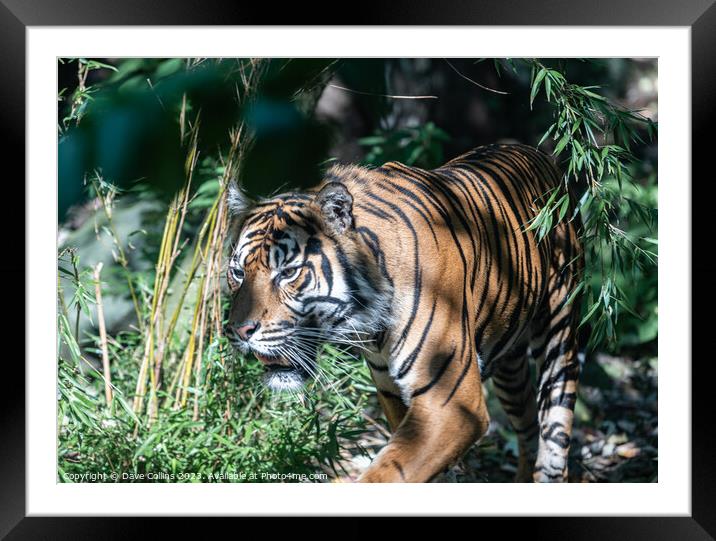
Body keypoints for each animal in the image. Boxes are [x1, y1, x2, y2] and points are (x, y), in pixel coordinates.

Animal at [224, 142, 580, 480]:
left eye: (287, 272)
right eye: (238, 272)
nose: (239, 331)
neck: (370, 323)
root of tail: (535, 152)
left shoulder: (452, 402)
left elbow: (388, 474)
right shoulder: (392, 392)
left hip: (558, 333)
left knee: (554, 436)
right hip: (510, 364)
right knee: (528, 427)